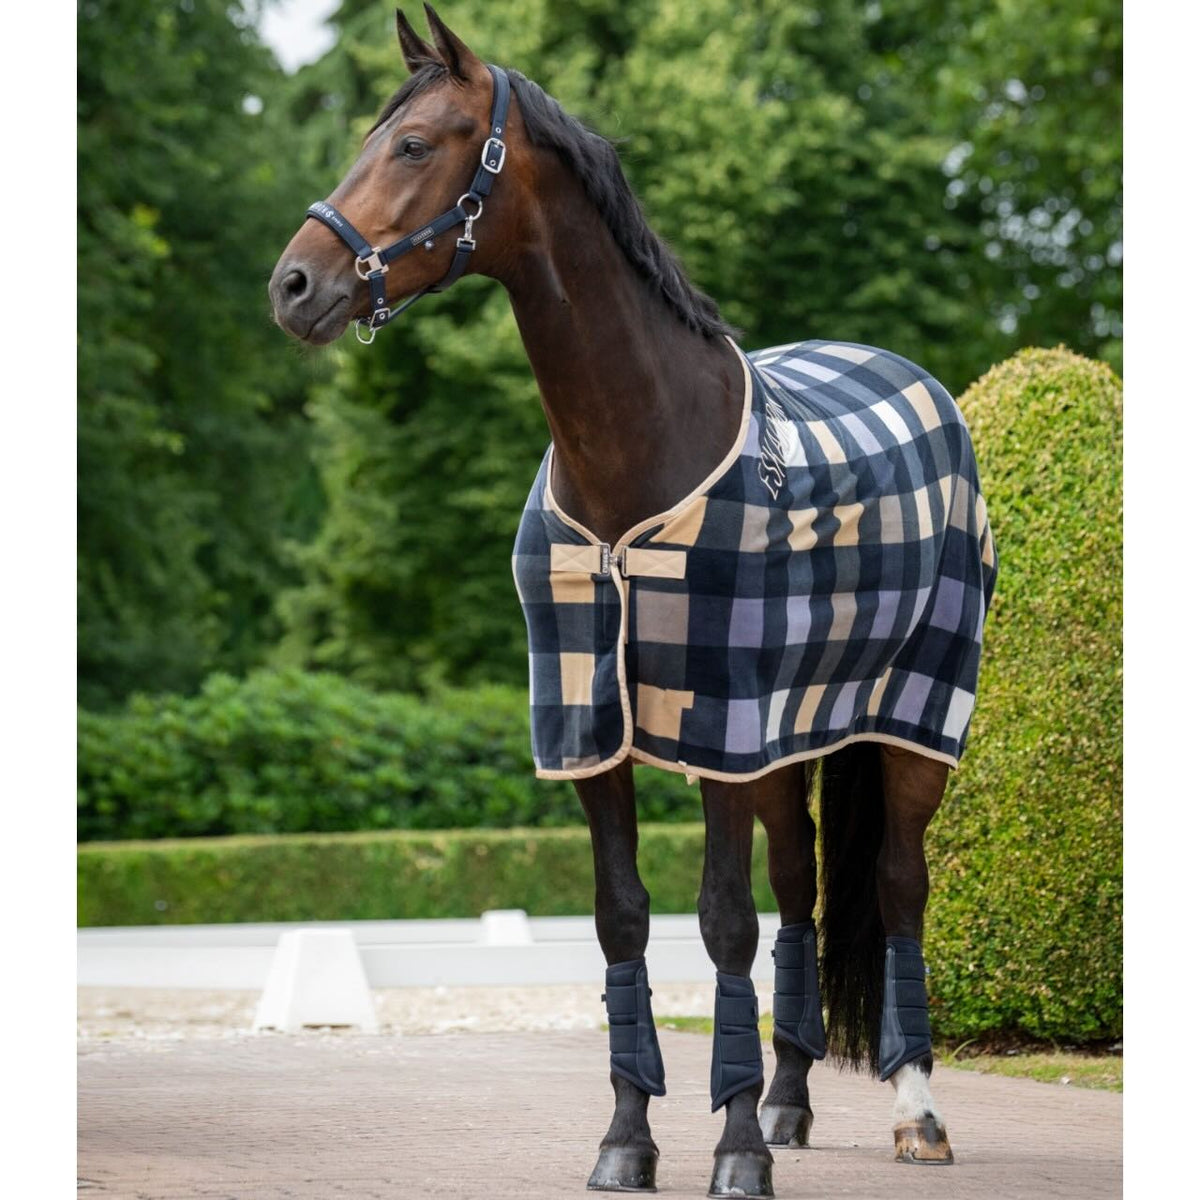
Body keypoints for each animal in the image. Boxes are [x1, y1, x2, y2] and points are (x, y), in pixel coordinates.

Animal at [269, 8, 996, 1197]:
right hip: (793, 743)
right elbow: (624, 921)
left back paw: (916, 1112)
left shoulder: (722, 732)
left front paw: (735, 1150)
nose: (292, 286)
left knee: (895, 886)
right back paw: (792, 1100)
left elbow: (725, 923)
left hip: (912, 725)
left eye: (415, 144)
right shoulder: (591, 727)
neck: (638, 454)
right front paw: (631, 1138)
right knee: (804, 889)